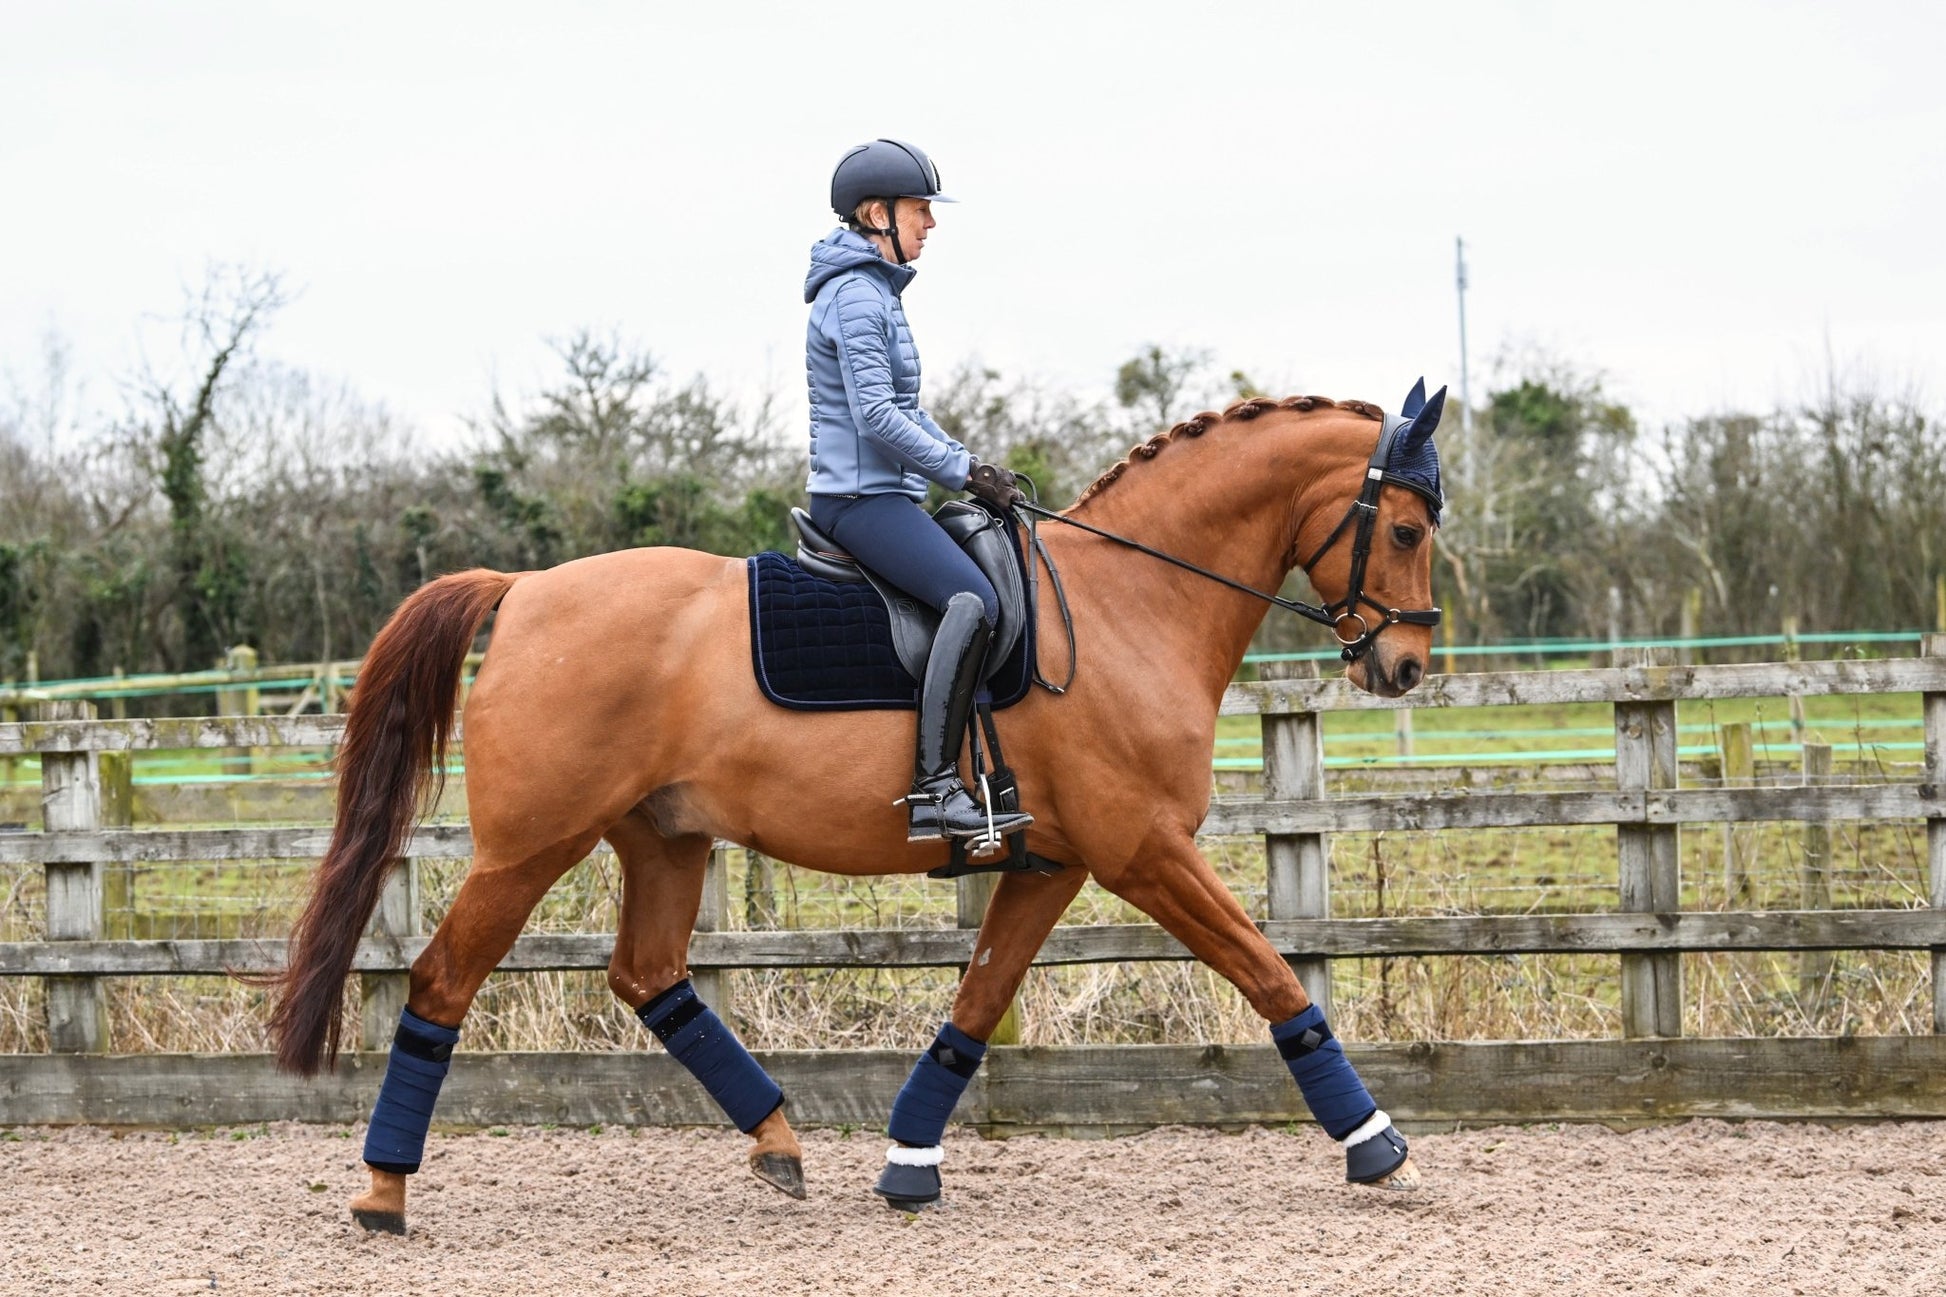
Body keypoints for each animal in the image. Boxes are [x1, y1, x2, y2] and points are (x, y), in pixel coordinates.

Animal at [266, 389, 1440, 1230]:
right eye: (1408, 528)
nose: (1405, 666)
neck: (1124, 606)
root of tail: (521, 590)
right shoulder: (1143, 850)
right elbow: (1269, 973)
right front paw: (1375, 1142)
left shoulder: (1050, 862)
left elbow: (977, 1003)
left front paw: (910, 1161)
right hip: (527, 848)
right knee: (440, 983)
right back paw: (383, 1191)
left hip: (665, 837)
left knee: (649, 978)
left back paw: (779, 1141)